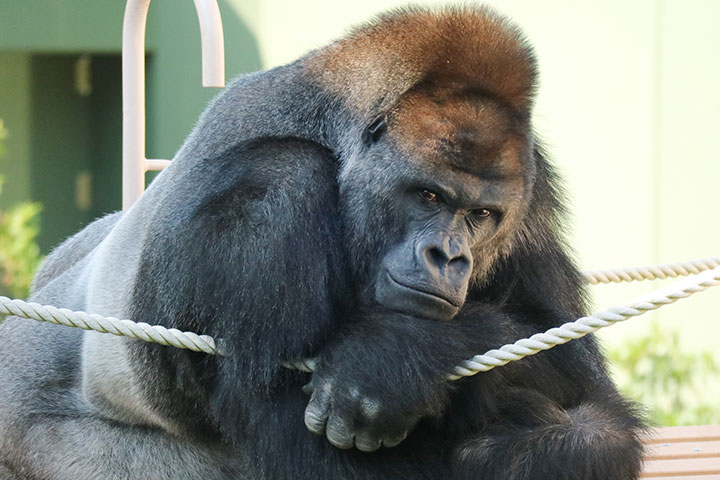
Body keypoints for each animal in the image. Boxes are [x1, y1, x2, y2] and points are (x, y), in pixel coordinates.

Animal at [0, 4, 644, 480]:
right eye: (428, 196)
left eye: (482, 215)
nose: (449, 257)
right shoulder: (268, 199)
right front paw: (395, 359)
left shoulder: (532, 189)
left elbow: (581, 384)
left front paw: (395, 360)